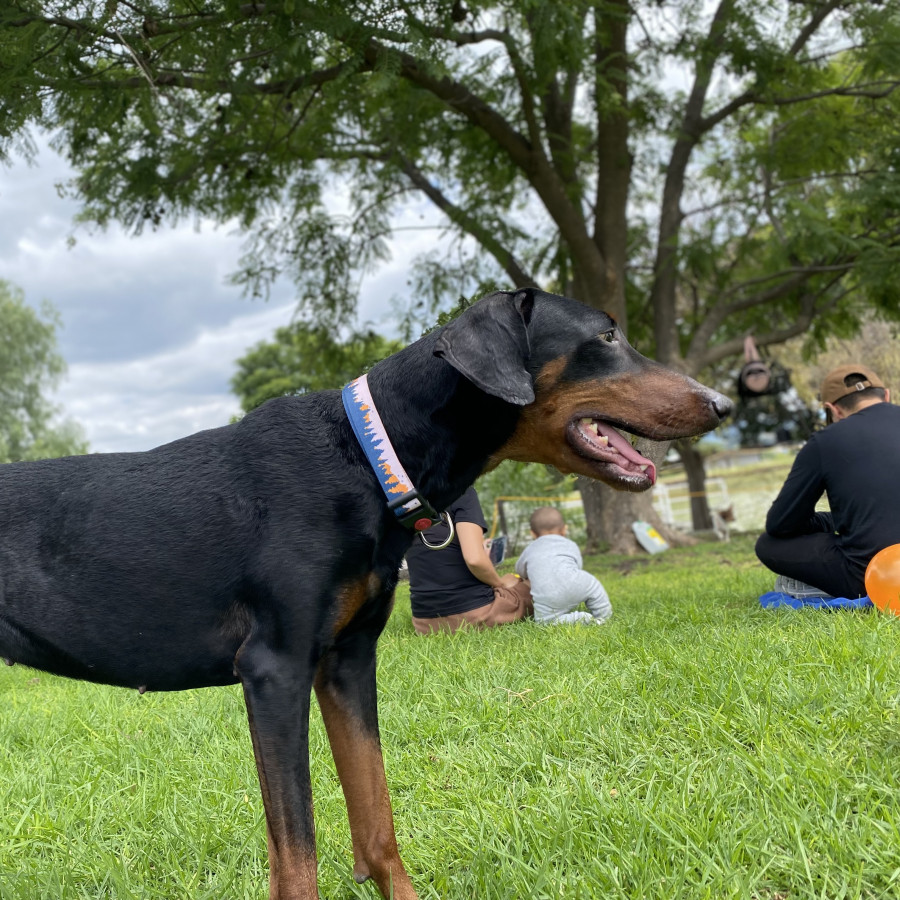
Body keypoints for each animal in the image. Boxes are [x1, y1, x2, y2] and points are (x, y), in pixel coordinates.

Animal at [0, 290, 732, 900]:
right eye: (604, 337)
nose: (723, 404)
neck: (370, 456)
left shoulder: (346, 662)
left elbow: (376, 818)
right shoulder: (275, 670)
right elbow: (297, 858)